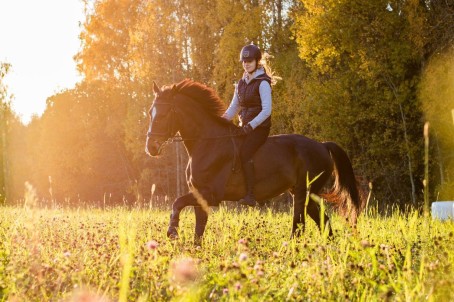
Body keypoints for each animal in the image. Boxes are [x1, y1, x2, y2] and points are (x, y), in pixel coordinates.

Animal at [145, 78, 362, 243]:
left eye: (164, 114)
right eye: (150, 112)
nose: (151, 148)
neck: (207, 143)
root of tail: (323, 145)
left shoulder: (209, 194)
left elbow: (177, 203)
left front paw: (172, 231)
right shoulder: (200, 196)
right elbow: (198, 231)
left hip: (303, 193)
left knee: (299, 226)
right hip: (305, 194)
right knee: (323, 222)